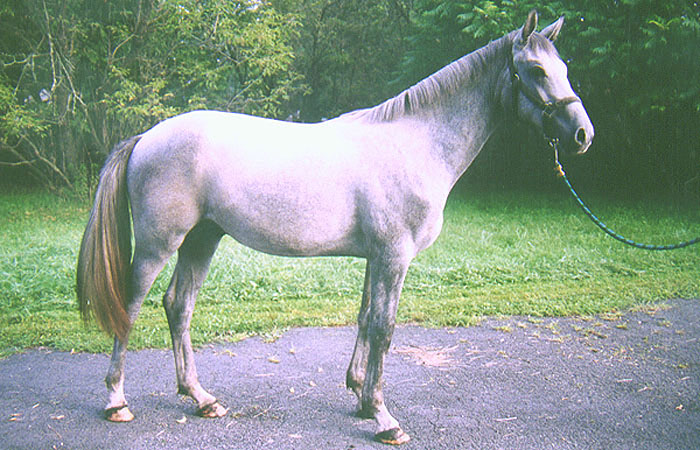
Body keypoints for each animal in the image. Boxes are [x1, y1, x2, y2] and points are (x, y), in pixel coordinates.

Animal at [77, 10, 593, 445]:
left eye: (565, 68)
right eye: (537, 70)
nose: (583, 134)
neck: (416, 143)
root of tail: (146, 136)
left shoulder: (376, 257)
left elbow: (365, 318)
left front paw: (361, 397)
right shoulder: (394, 256)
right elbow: (384, 327)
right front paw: (384, 418)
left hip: (202, 240)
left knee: (178, 306)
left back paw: (202, 399)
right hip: (157, 245)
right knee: (130, 305)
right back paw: (117, 401)